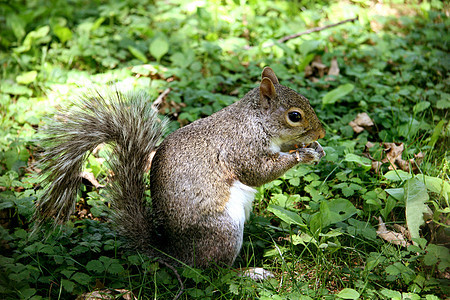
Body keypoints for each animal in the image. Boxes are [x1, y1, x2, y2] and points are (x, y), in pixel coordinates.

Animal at [35, 67, 324, 270]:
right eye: (294, 116)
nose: (322, 132)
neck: (255, 121)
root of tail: (174, 253)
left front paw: (317, 148)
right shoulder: (242, 148)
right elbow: (259, 172)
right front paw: (303, 155)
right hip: (224, 230)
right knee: (214, 273)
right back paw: (249, 273)